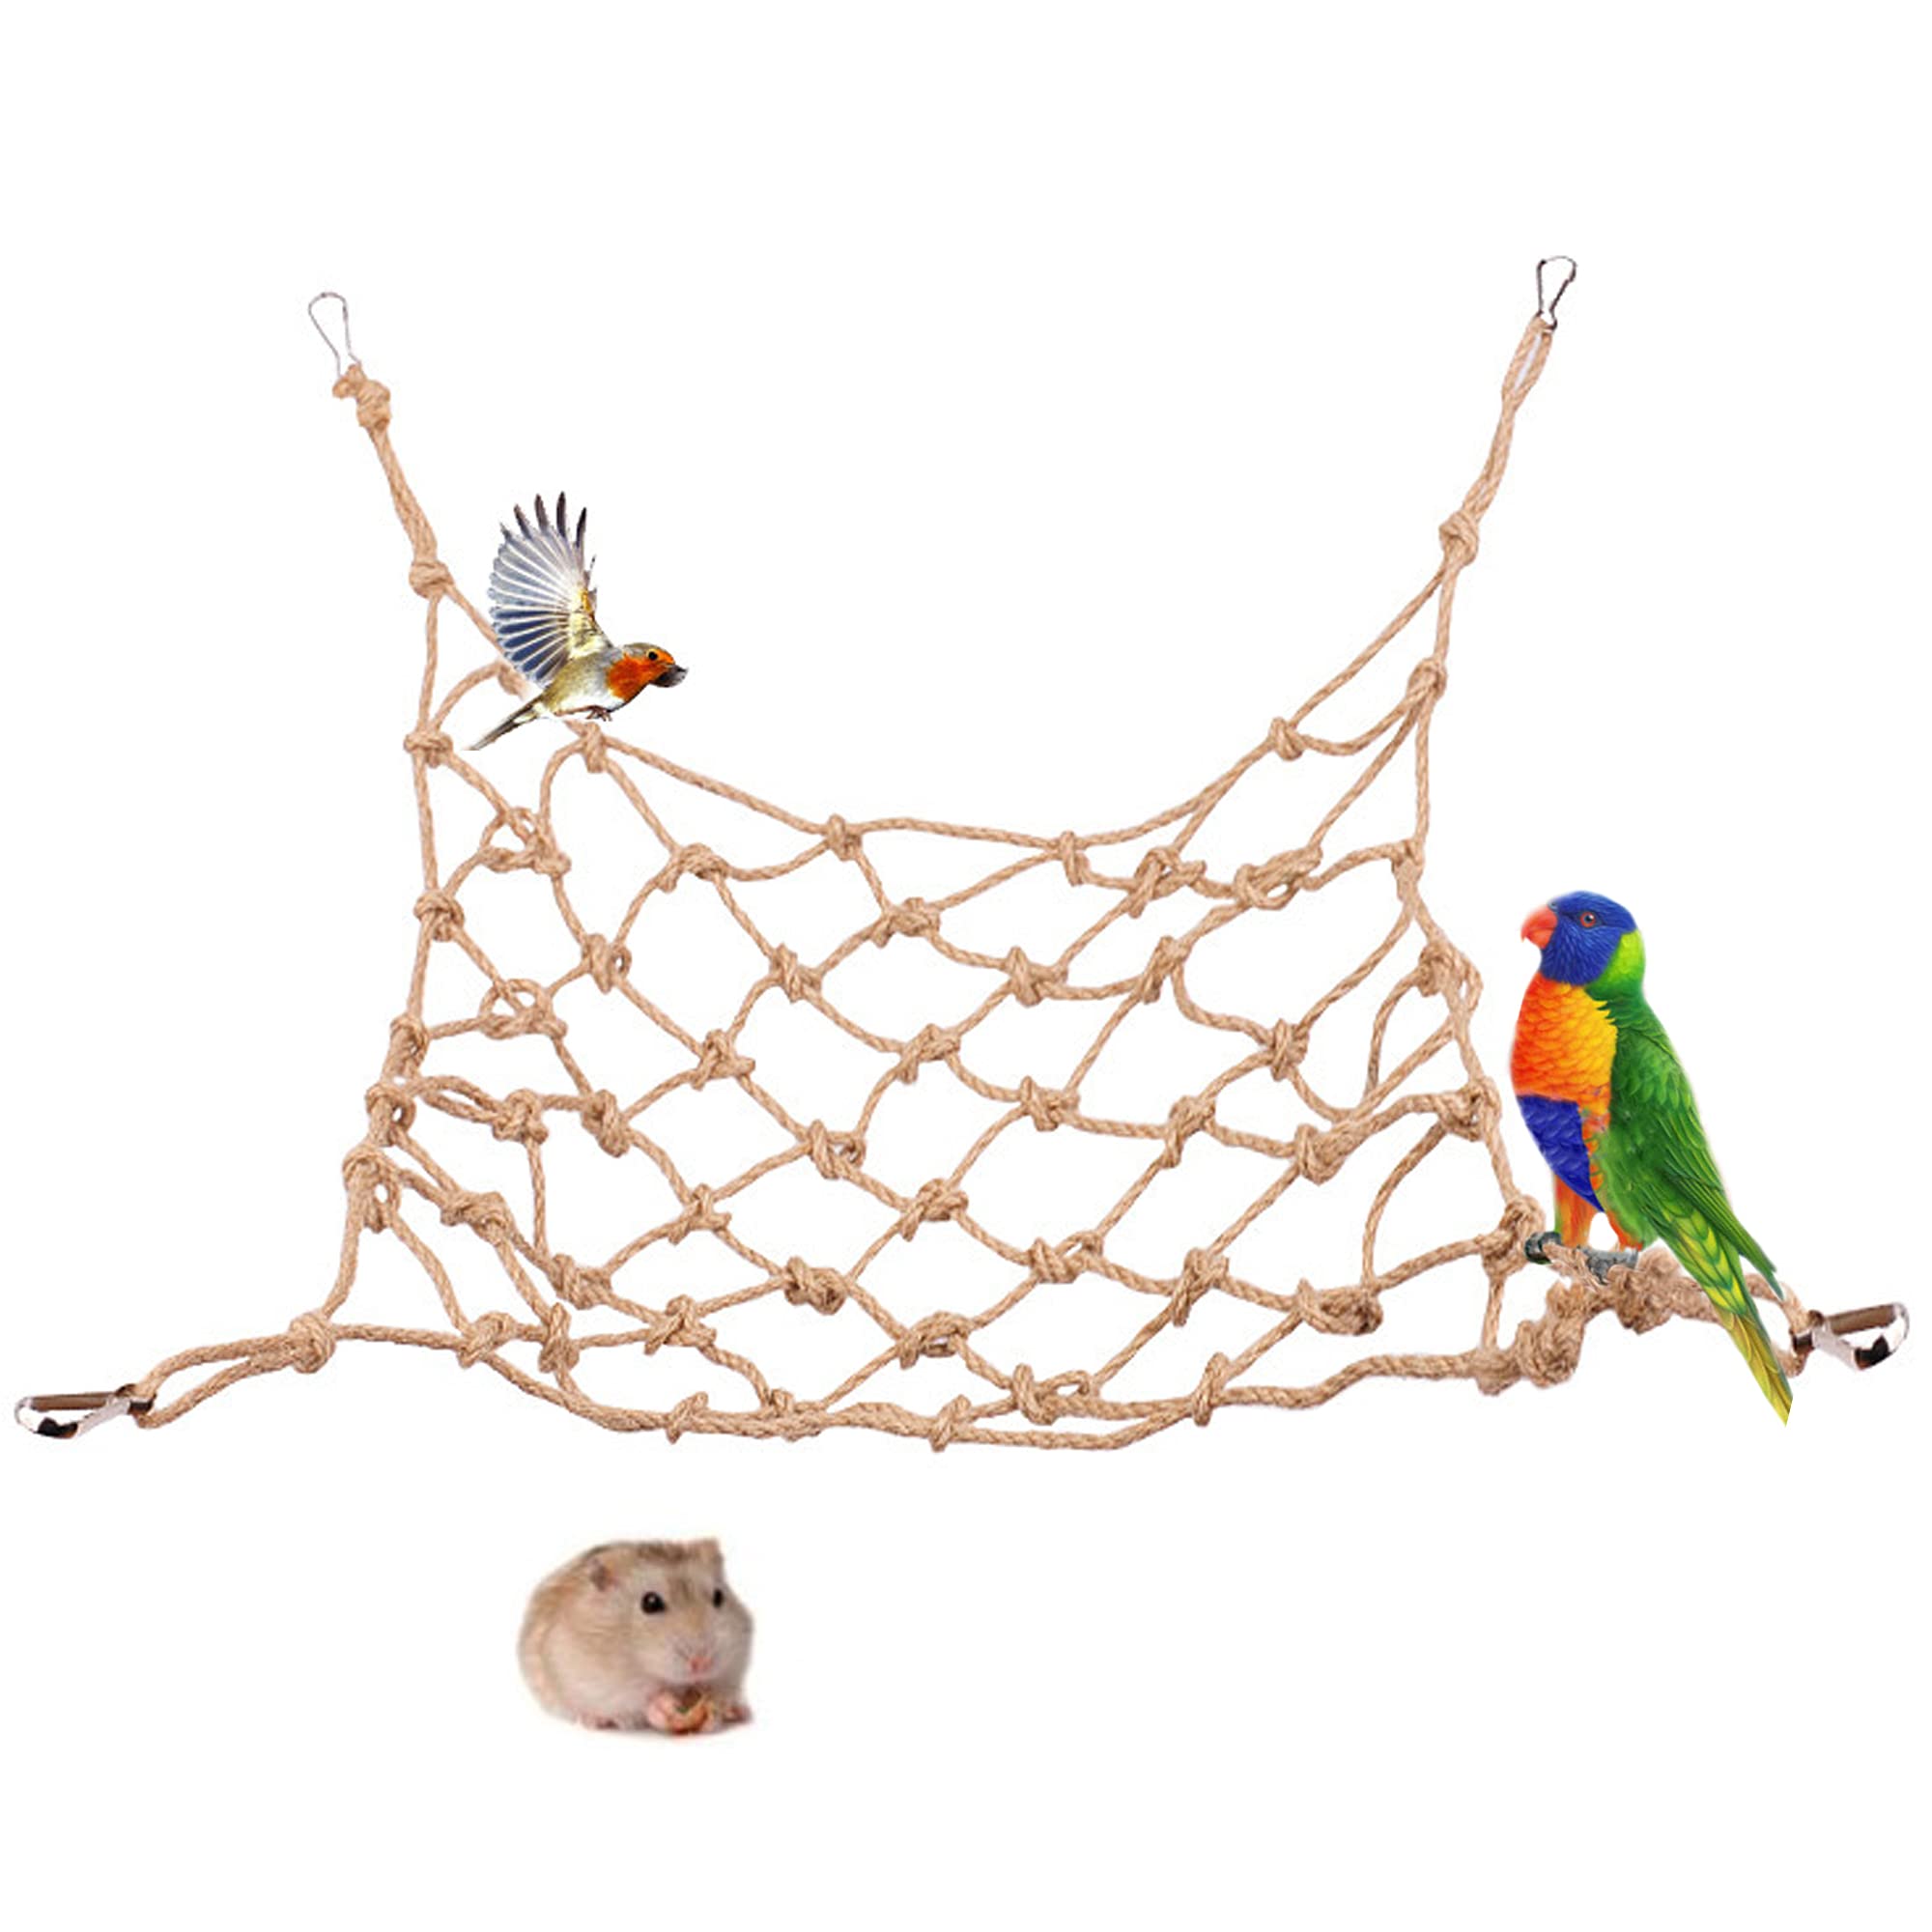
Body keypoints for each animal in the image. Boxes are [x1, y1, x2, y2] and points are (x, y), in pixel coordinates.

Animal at [518, 1539, 754, 1735]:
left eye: (719, 1597)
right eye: (650, 1602)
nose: (702, 1663)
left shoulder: (732, 1668)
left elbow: (720, 1690)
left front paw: (716, 1710)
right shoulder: (601, 1679)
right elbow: (641, 1700)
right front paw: (665, 1705)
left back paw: (741, 1711)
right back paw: (594, 1720)